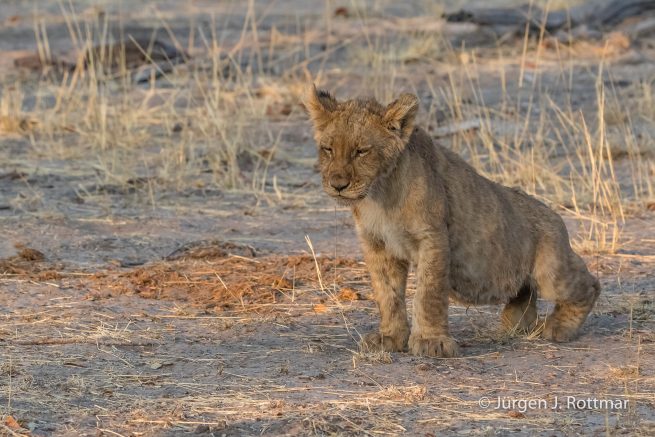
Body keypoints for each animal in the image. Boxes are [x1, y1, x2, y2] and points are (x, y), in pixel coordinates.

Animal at [304, 86, 600, 358]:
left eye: (361, 151)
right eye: (328, 149)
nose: (338, 185)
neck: (379, 194)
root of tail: (554, 215)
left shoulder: (432, 237)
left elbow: (428, 293)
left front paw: (430, 342)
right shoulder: (378, 244)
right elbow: (387, 295)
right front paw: (390, 338)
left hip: (551, 270)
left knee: (590, 284)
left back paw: (559, 327)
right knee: (524, 291)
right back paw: (513, 325)